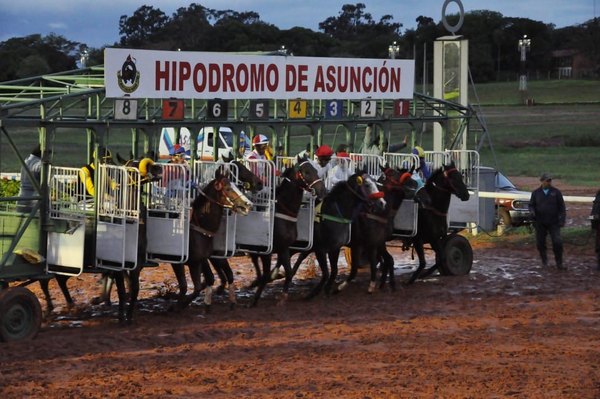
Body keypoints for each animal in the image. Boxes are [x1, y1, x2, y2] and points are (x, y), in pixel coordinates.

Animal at [248, 155, 326, 308]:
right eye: (306, 172)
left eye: (315, 170)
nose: (322, 190)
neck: (283, 211)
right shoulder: (270, 250)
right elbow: (270, 273)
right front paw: (256, 299)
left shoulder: (284, 248)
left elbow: (288, 272)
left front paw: (282, 296)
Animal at [292, 170, 386, 300]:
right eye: (367, 185)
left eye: (377, 184)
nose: (382, 203)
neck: (335, 214)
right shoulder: (322, 249)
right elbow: (329, 272)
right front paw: (315, 292)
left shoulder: (344, 247)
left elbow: (338, 270)